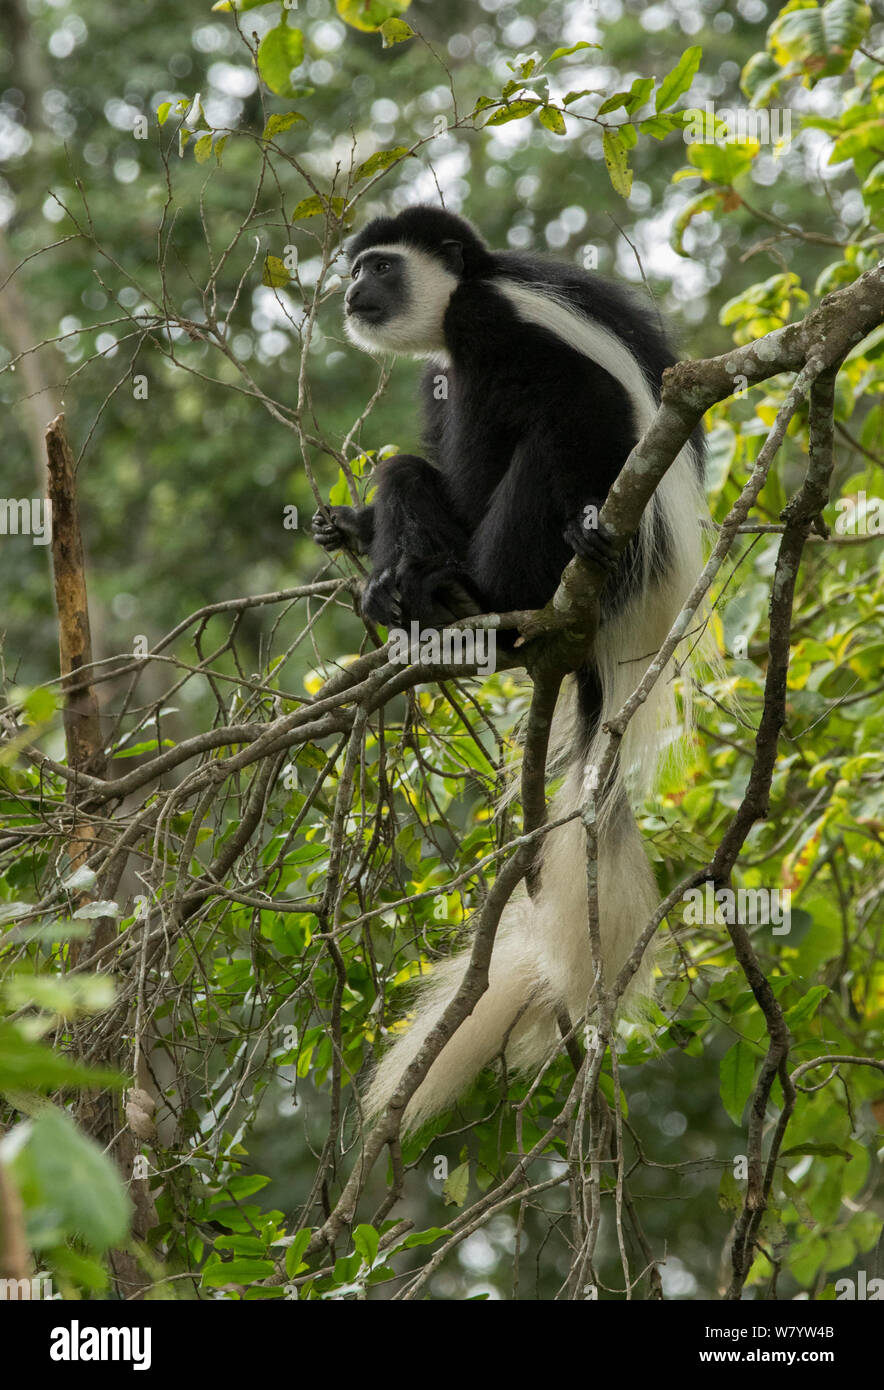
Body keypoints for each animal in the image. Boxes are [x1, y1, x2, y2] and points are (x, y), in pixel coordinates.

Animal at [314, 205, 708, 1134]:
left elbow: (578, 410)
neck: (471, 285)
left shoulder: (492, 322)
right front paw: (357, 532)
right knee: (412, 468)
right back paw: (420, 594)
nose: (349, 293)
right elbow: (435, 456)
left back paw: (482, 599)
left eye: (378, 267)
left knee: (545, 440)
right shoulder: (442, 371)